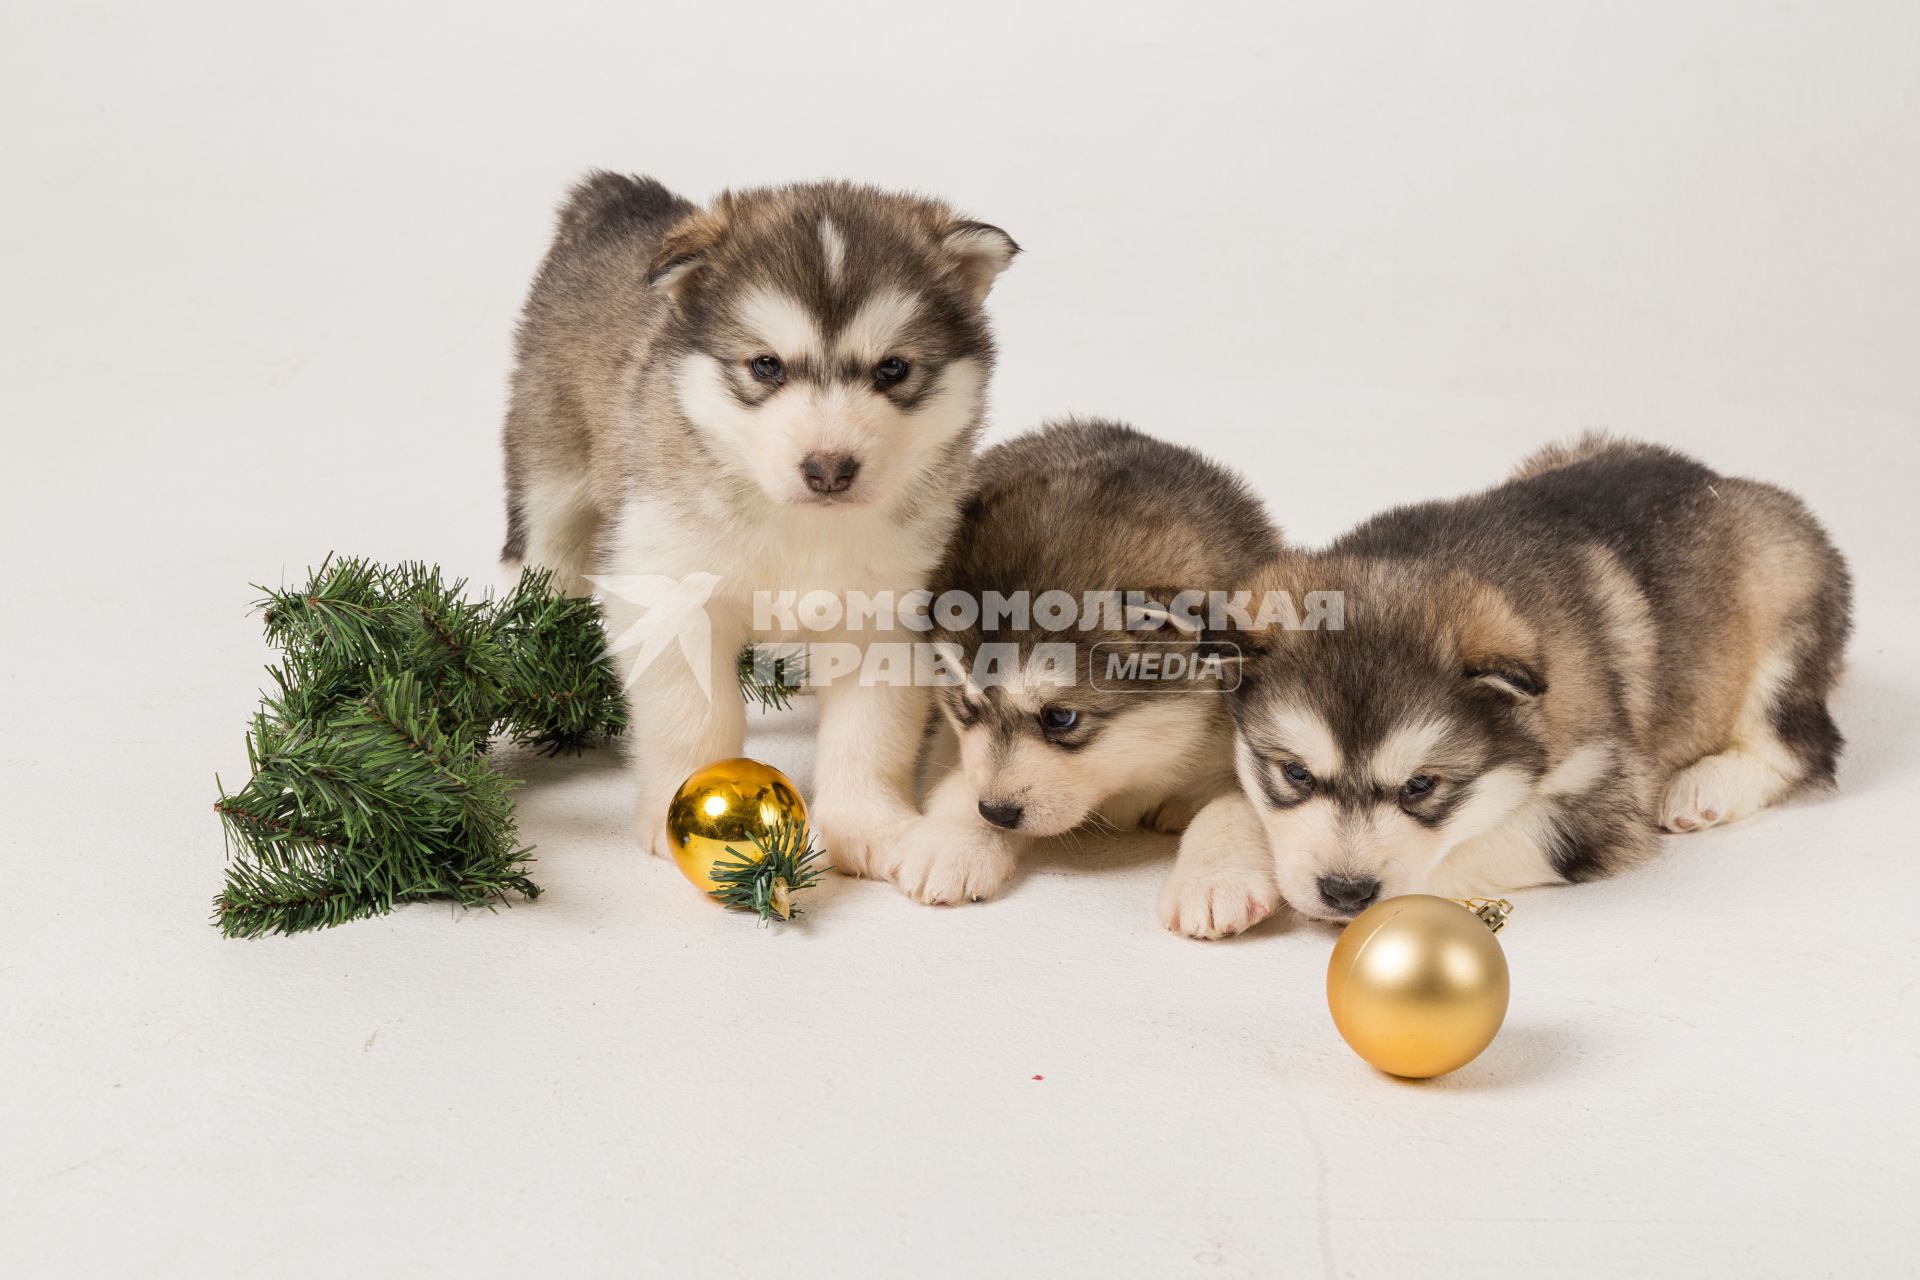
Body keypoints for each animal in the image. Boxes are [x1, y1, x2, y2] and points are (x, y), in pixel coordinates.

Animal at [506, 172, 1021, 871]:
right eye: (766, 366)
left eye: (893, 368)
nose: (829, 468)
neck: (799, 525)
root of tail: (622, 198)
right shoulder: (668, 588)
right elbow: (693, 714)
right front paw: (684, 809)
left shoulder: (886, 613)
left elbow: (870, 730)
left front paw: (869, 824)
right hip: (552, 473)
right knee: (543, 555)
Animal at [887, 426, 1282, 936]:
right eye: (967, 706)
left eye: (1060, 718)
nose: (995, 812)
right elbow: (960, 774)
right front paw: (953, 838)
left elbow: (1237, 803)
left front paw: (1215, 879)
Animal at [1175, 435, 1850, 924]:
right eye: (1295, 774)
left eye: (1421, 786)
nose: (1346, 892)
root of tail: (1719, 476)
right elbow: (1239, 798)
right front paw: (1219, 870)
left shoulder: (1603, 800)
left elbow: (1454, 854)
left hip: (1784, 590)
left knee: (1805, 745)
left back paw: (1706, 787)